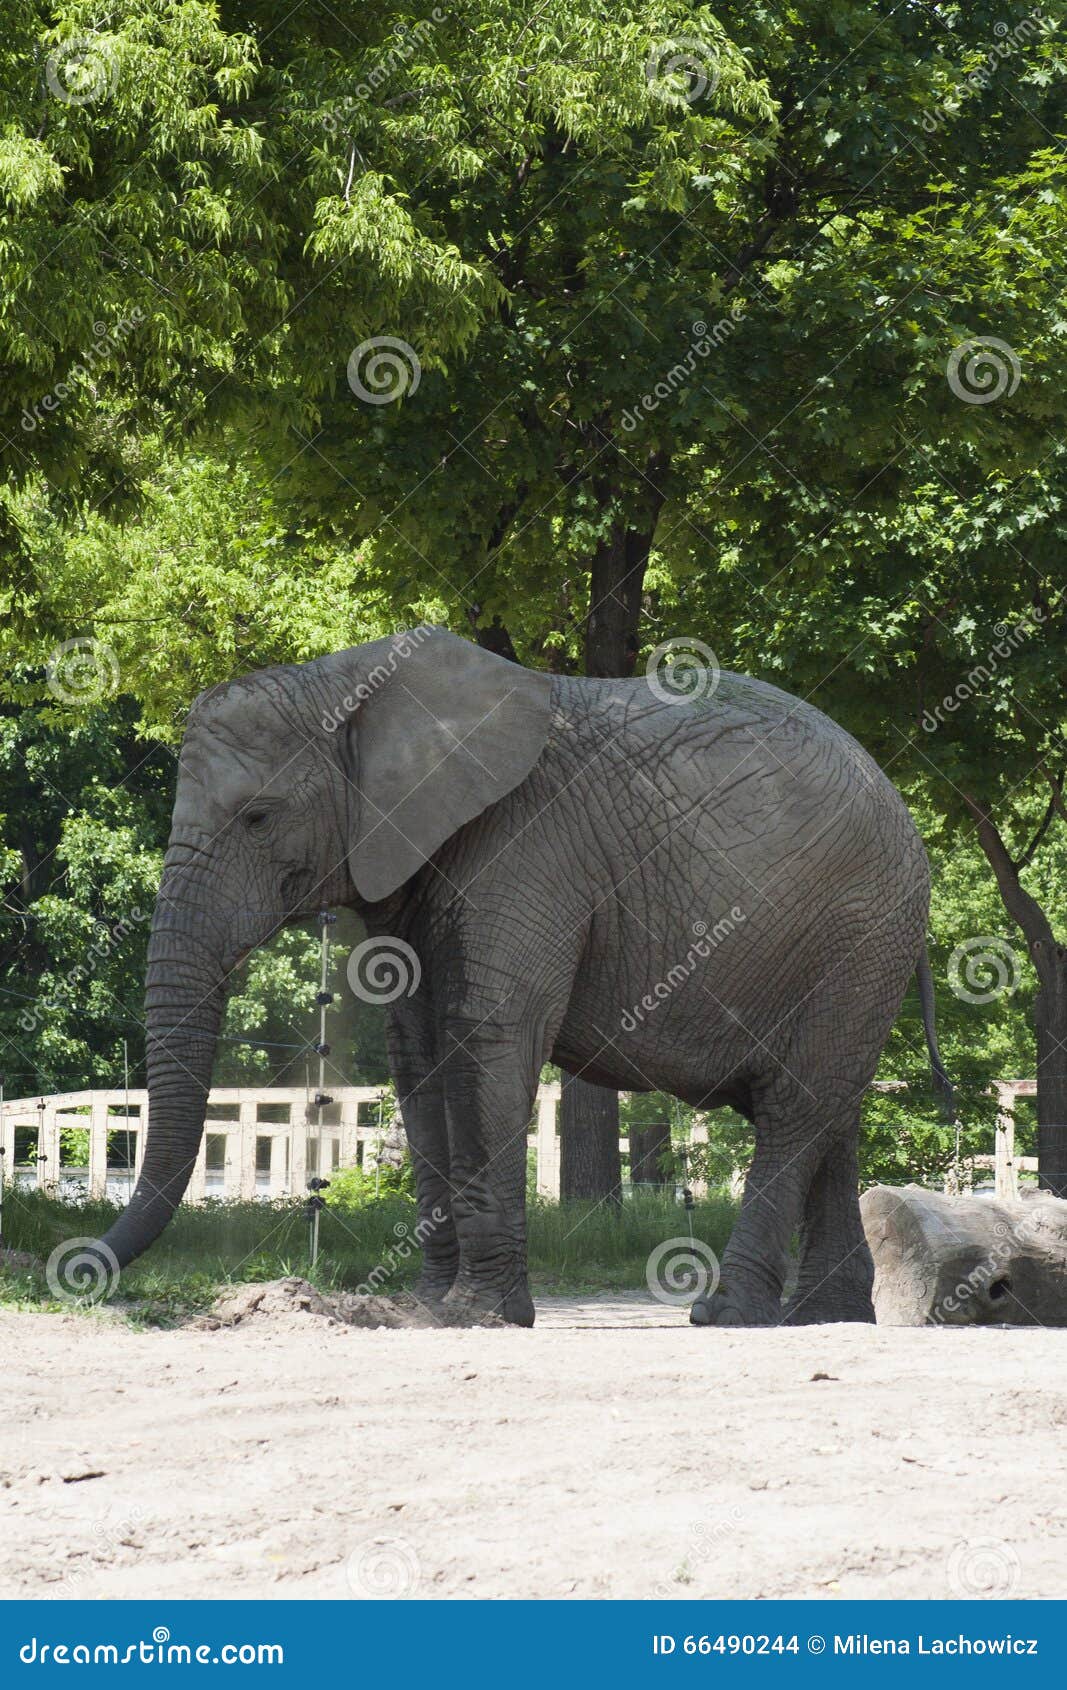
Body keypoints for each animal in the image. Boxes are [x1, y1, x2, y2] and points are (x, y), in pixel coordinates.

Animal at [93, 621, 953, 1318]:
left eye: (258, 817)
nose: (83, 1271)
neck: (352, 678)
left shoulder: (529, 845)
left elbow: (486, 1033)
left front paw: (482, 1313)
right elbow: (418, 1055)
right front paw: (429, 1308)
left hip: (858, 932)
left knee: (795, 1109)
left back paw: (724, 1316)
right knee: (830, 1112)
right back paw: (822, 1318)